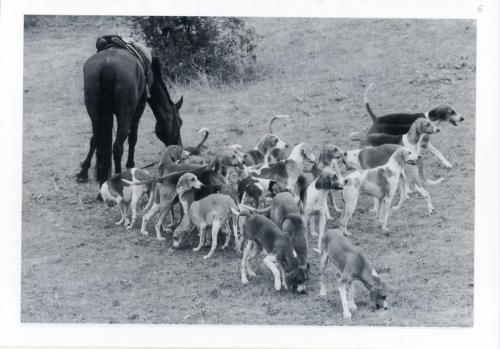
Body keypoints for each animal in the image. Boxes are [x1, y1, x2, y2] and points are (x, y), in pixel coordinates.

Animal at [76, 48, 182, 188]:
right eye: (180, 123)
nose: (179, 145)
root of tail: (108, 66)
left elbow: (93, 140)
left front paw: (83, 171)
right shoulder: (140, 105)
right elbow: (133, 137)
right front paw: (130, 164)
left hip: (95, 113)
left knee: (98, 139)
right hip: (125, 115)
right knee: (117, 147)